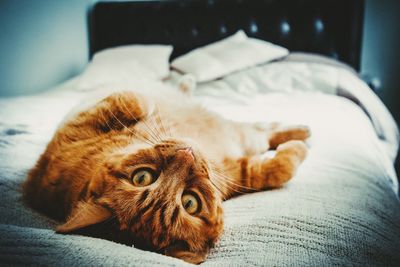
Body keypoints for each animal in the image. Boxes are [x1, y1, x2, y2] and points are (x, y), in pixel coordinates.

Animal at [23, 89, 310, 264]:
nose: (187, 154)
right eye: (190, 202)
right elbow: (132, 99)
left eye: (142, 177)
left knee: (262, 128)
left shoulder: (232, 171)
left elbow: (278, 168)